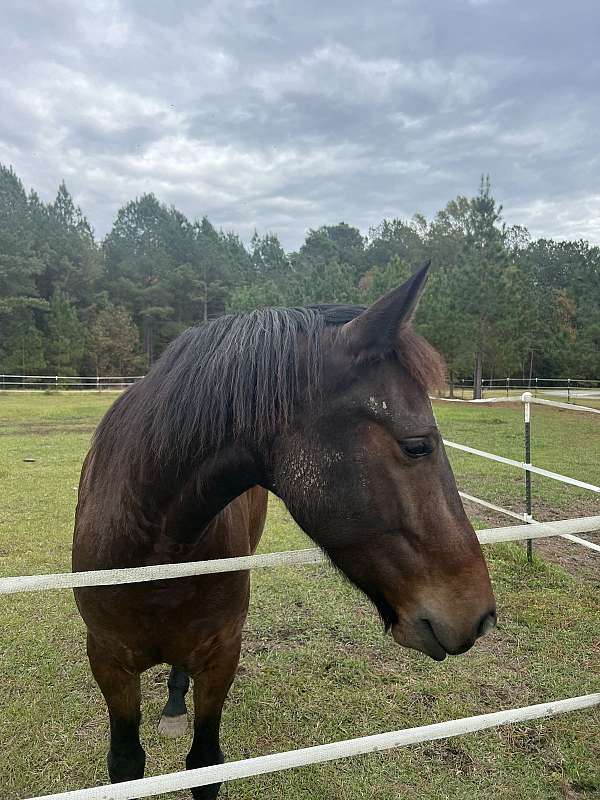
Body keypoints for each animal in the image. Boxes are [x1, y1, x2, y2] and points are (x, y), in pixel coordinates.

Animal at [72, 260, 494, 792]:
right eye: (418, 445)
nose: (479, 616)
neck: (155, 548)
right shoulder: (108, 660)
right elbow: (127, 766)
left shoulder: (220, 654)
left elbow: (205, 764)